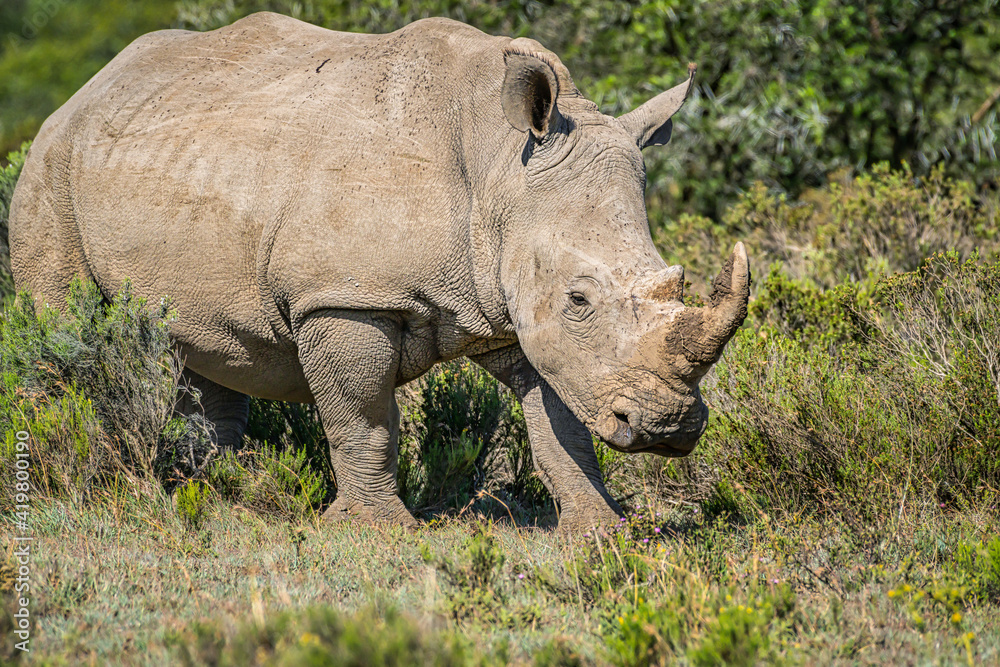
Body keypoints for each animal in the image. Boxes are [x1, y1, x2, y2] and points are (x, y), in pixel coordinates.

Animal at [9, 12, 750, 531]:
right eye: (580, 298)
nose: (668, 428)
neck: (498, 162)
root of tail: (86, 91)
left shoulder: (517, 305)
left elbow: (559, 422)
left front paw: (602, 531)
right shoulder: (343, 297)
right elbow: (362, 418)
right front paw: (378, 530)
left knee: (205, 345)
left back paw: (217, 494)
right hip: (51, 166)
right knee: (64, 327)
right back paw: (74, 476)